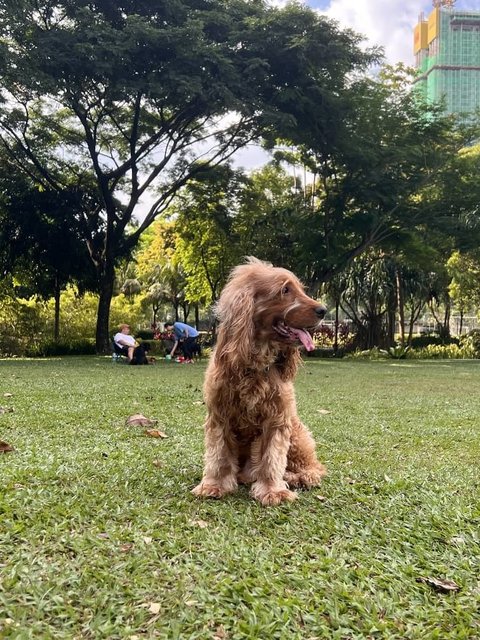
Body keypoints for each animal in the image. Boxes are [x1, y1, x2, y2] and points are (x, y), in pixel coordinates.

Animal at [193, 256, 328, 504]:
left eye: (300, 289)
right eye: (285, 290)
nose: (323, 310)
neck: (255, 364)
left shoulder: (276, 419)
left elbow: (271, 458)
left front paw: (273, 490)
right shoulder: (220, 415)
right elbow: (219, 454)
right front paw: (214, 485)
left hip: (296, 431)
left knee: (314, 467)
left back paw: (298, 477)